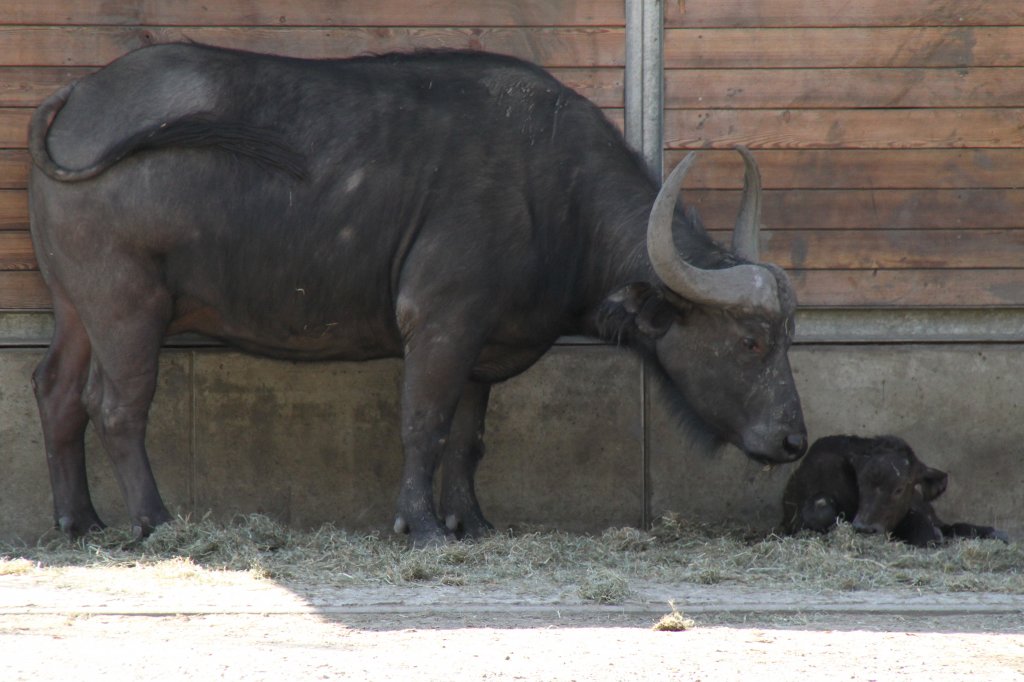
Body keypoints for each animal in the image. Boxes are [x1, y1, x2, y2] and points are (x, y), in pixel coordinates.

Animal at [28, 43, 806, 540]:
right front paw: (423, 525)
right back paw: (153, 522)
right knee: (117, 407)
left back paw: (81, 521)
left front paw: (474, 522)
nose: (795, 439)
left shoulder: (483, 345)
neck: (551, 195)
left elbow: (467, 438)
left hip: (75, 305)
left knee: (57, 391)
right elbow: (422, 425)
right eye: (750, 340)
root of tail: (79, 94)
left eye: (787, 338)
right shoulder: (440, 323)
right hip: (126, 300)